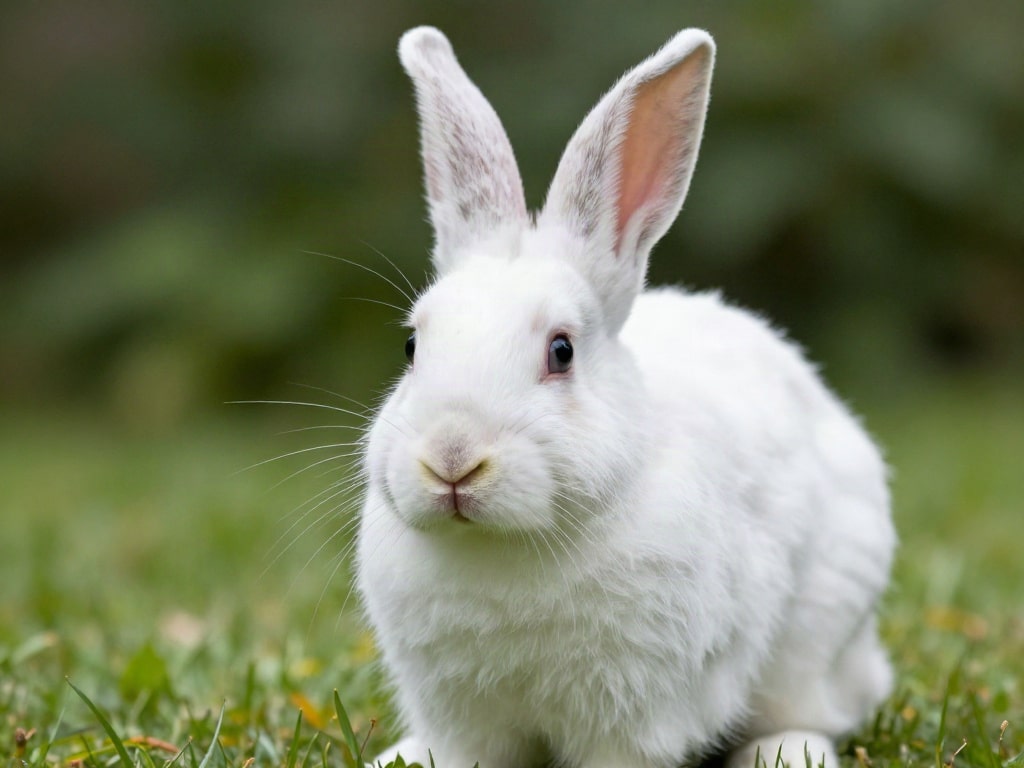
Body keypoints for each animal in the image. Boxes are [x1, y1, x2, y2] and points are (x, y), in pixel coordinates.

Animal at [355, 25, 896, 768]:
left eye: (561, 351)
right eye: (412, 347)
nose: (452, 459)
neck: (509, 549)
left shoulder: (635, 714)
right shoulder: (464, 717)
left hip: (818, 628)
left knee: (815, 710)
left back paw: (784, 752)